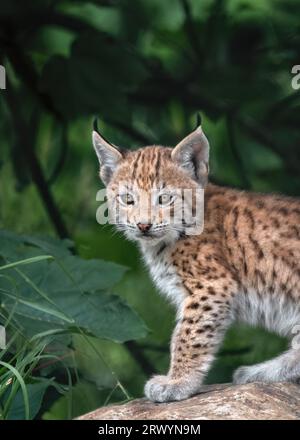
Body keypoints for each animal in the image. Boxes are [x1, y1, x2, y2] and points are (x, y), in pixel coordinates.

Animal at [92, 119, 300, 402]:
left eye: (164, 198)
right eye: (128, 199)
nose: (144, 225)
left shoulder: (211, 286)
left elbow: (187, 335)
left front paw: (177, 382)